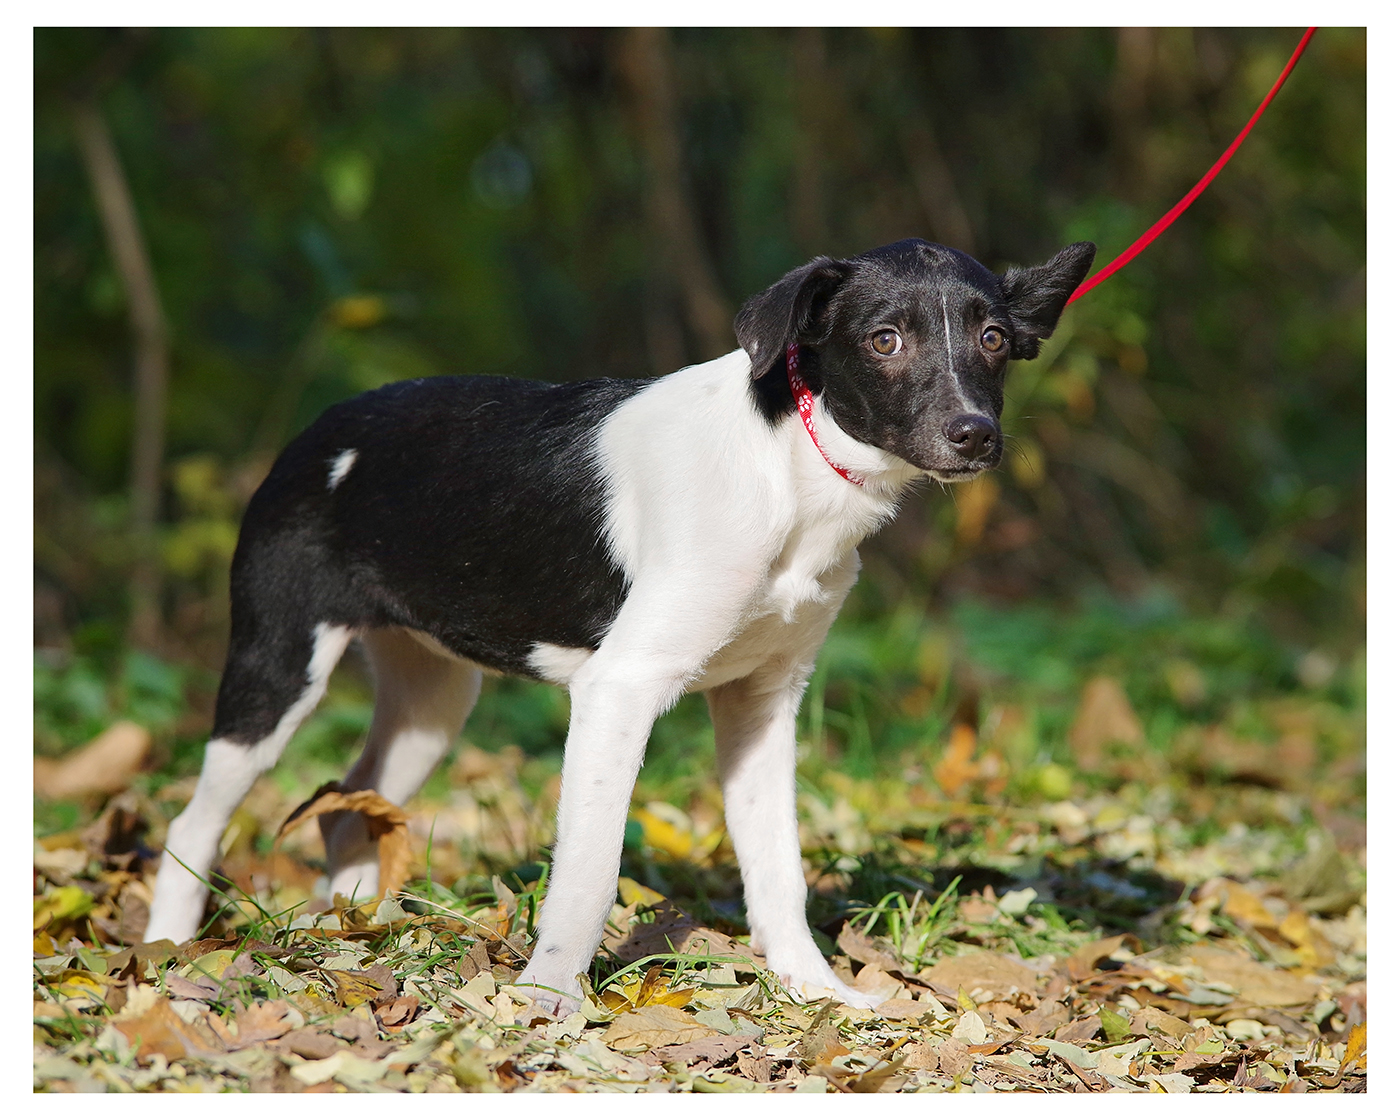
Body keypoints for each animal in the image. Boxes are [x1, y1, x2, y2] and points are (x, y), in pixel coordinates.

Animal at [144, 237, 1095, 1014]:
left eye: (995, 339)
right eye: (884, 340)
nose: (974, 435)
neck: (788, 467)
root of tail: (321, 433)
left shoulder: (763, 702)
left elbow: (777, 865)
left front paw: (812, 988)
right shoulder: (619, 690)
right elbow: (590, 869)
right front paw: (549, 1001)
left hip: (431, 703)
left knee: (351, 808)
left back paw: (354, 932)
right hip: (278, 670)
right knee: (195, 822)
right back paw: (166, 954)